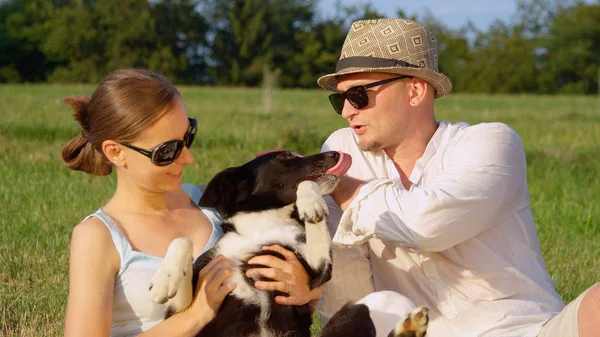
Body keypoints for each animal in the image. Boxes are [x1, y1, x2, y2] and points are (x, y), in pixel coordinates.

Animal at [150, 150, 432, 336]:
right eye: (284, 157)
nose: (334, 154)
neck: (264, 226)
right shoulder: (184, 309)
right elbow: (182, 240)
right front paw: (164, 280)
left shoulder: (316, 272)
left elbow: (308, 189)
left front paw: (310, 203)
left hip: (356, 310)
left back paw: (410, 328)